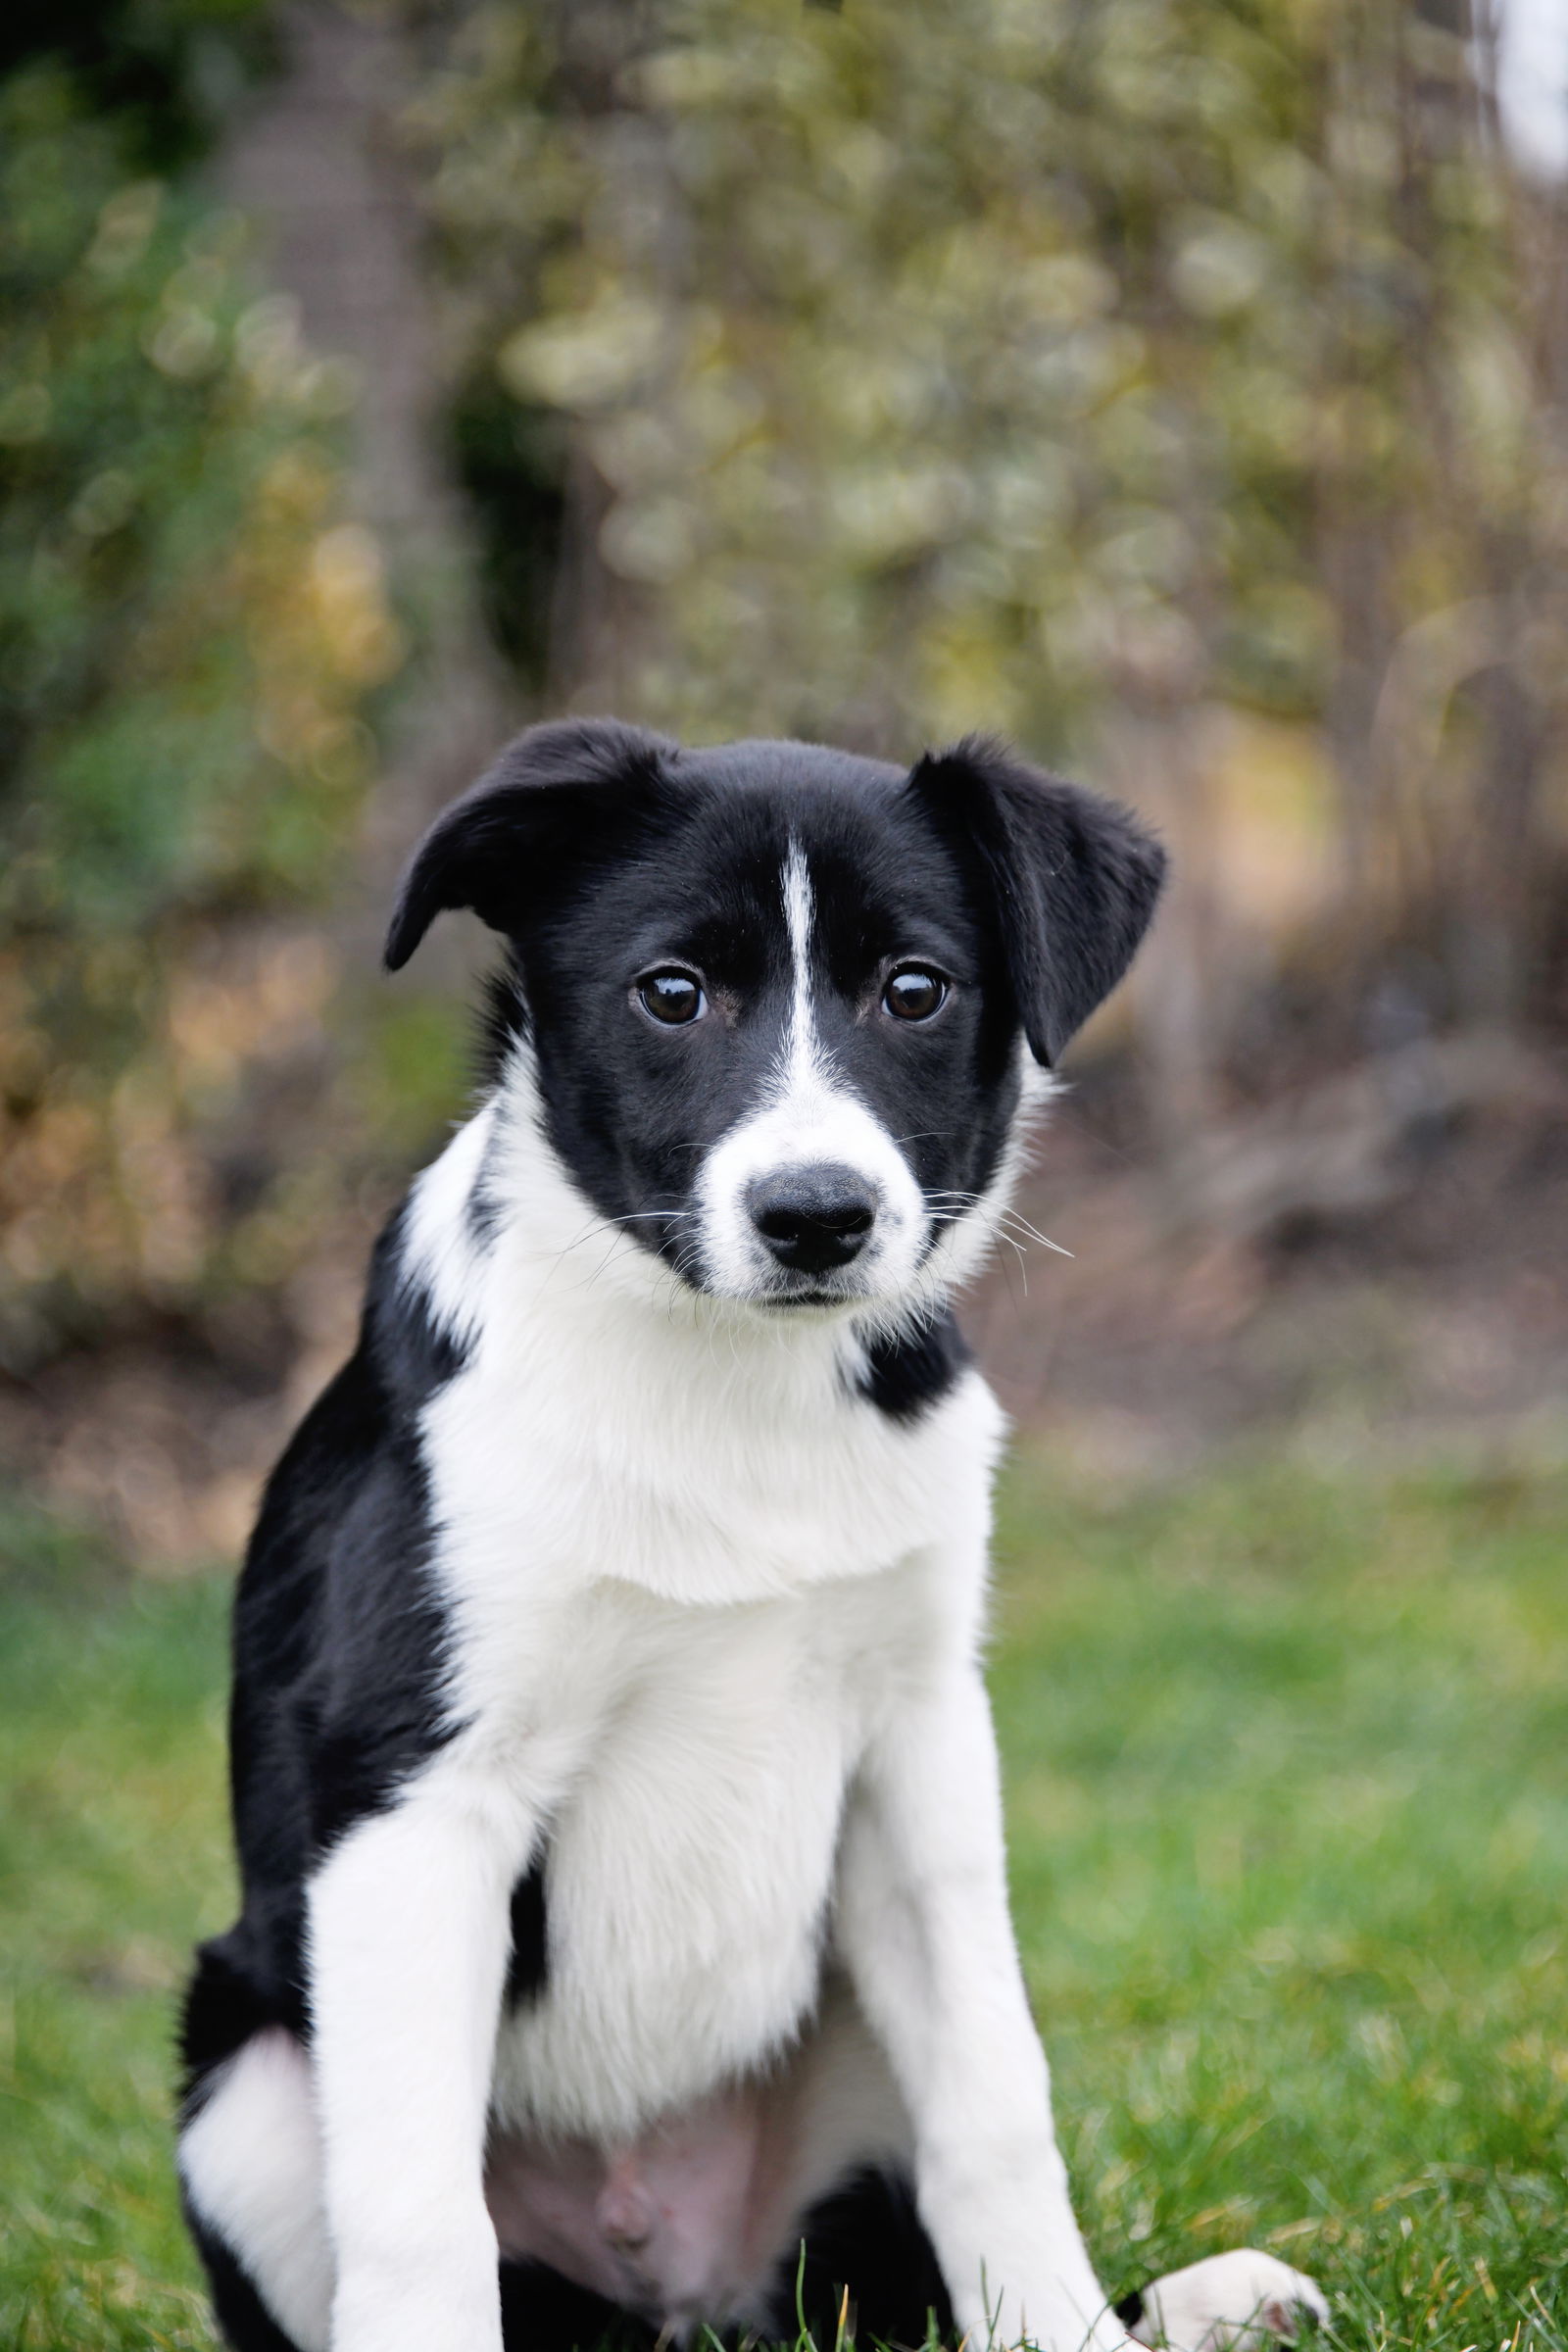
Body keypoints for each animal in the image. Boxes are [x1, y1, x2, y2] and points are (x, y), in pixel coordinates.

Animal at [174, 724, 1325, 2352]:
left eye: (914, 988)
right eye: (672, 992)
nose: (816, 1215)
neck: (726, 1380)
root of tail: (677, 2304)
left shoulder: (918, 1747)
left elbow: (997, 2102)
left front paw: (1064, 2332)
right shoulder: (414, 1795)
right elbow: (413, 2212)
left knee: (887, 2277)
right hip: (247, 2071)